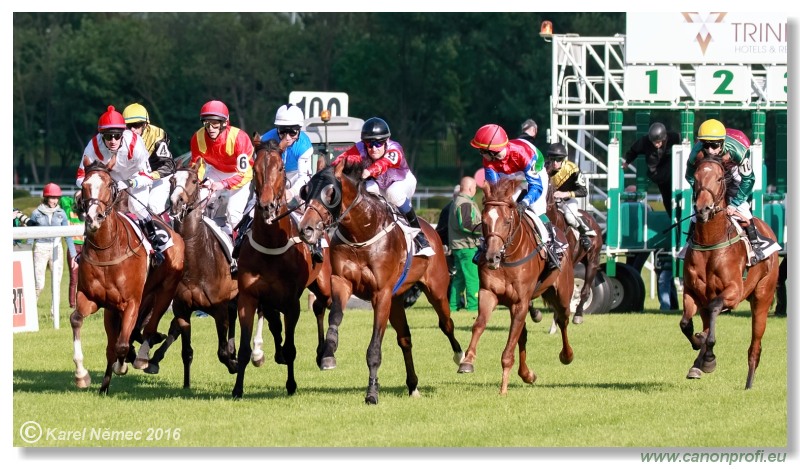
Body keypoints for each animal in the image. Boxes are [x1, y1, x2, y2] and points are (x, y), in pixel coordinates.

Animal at [69, 156, 185, 392]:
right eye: (84, 186)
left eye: (109, 185)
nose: (93, 218)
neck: (106, 250)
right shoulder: (91, 298)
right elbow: (76, 319)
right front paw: (81, 374)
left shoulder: (131, 302)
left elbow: (122, 344)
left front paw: (122, 365)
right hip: (116, 307)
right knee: (116, 341)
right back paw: (105, 386)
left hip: (164, 290)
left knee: (149, 326)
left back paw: (142, 357)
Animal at [231, 136, 332, 398]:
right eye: (255, 168)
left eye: (281, 168)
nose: (267, 206)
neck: (271, 245)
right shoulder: (248, 297)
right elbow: (245, 348)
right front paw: (237, 388)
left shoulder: (291, 302)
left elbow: (291, 346)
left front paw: (291, 384)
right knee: (274, 323)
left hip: (323, 283)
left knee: (321, 305)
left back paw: (322, 354)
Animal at [296, 160, 462, 402]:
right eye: (305, 191)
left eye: (331, 193)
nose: (305, 229)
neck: (361, 233)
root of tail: (431, 230)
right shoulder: (342, 282)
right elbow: (335, 316)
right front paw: (328, 354)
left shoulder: (381, 294)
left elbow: (374, 348)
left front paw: (372, 393)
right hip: (396, 301)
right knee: (405, 338)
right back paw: (413, 385)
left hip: (436, 290)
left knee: (446, 324)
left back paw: (462, 359)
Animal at [456, 177, 576, 394]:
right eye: (484, 221)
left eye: (507, 221)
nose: (492, 257)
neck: (508, 256)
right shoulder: (489, 293)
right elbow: (480, 324)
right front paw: (467, 361)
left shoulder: (521, 301)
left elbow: (510, 343)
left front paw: (503, 389)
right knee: (523, 334)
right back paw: (527, 374)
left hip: (562, 293)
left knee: (563, 319)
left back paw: (566, 355)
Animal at [680, 156, 780, 388]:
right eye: (695, 176)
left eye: (719, 178)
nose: (703, 209)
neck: (711, 241)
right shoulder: (692, 291)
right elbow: (686, 323)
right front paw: (700, 347)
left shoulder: (733, 292)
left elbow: (716, 308)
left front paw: (708, 356)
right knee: (706, 321)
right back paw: (698, 363)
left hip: (762, 297)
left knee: (755, 346)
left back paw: (748, 384)